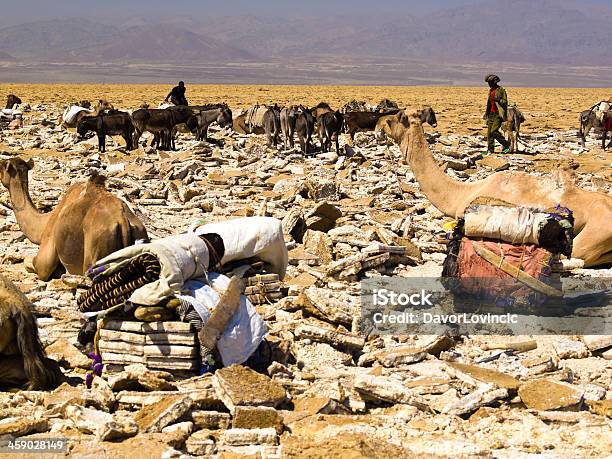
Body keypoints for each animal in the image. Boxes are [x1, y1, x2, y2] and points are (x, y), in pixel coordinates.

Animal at [0, 158, 148, 280]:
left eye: (1, 166)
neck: (44, 223)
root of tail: (122, 220)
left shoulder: (45, 257)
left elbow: (32, 264)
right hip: (140, 232)